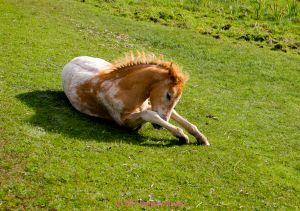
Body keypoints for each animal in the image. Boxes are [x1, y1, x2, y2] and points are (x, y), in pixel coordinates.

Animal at [62, 52, 210, 146]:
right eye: (169, 95)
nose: (159, 126)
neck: (123, 89)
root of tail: (70, 61)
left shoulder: (151, 103)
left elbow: (178, 117)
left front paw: (202, 138)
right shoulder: (125, 123)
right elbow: (150, 114)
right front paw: (182, 136)